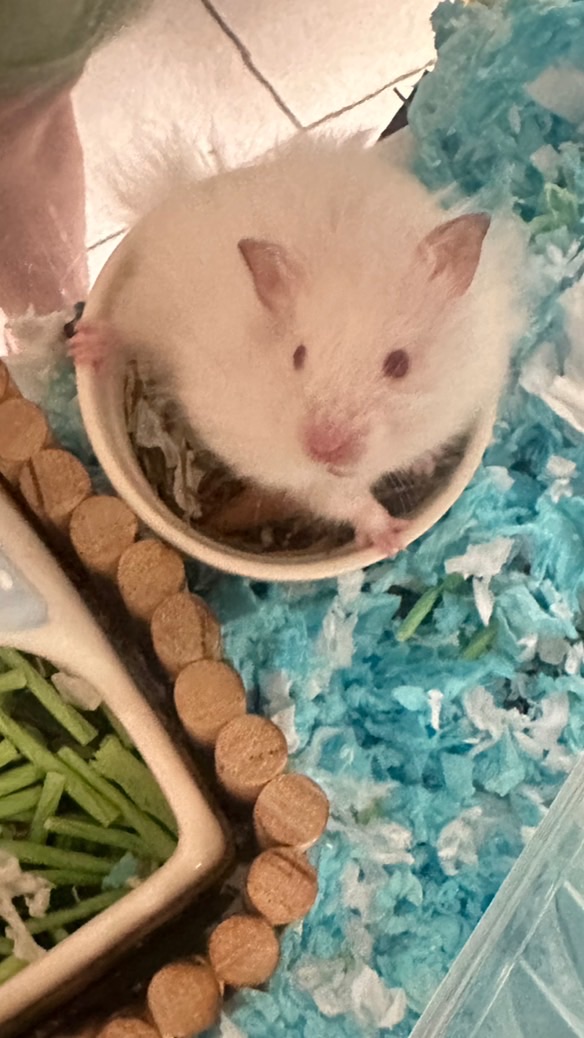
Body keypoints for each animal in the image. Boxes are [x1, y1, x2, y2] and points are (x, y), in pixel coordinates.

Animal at [72, 134, 528, 555]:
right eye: (298, 356)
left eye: (399, 364)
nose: (323, 449)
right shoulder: (302, 475)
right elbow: (346, 501)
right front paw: (392, 539)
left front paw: (422, 465)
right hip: (145, 303)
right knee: (122, 325)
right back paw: (84, 345)